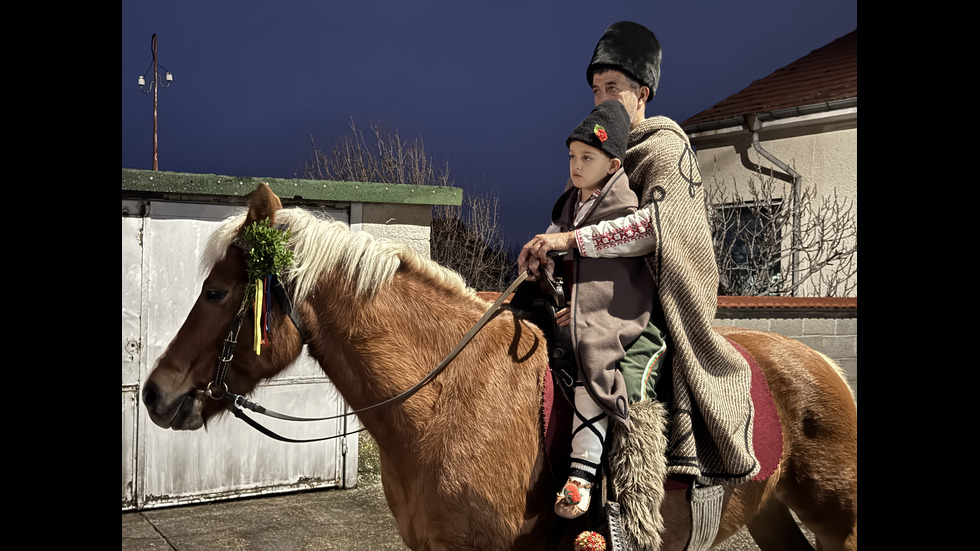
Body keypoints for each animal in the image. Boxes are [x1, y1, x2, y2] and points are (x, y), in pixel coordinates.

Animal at [142, 183, 857, 550]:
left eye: (216, 292)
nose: (154, 392)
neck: (446, 399)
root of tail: (823, 364)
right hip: (769, 513)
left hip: (839, 524)